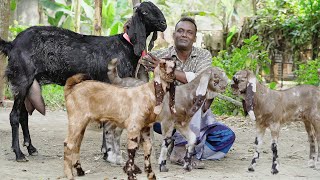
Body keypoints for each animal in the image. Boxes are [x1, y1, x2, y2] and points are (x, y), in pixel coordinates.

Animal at [0, 1, 168, 162]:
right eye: (145, 11)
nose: (164, 23)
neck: (125, 46)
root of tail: (12, 44)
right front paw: (108, 152)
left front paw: (106, 151)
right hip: (22, 80)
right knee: (14, 116)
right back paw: (19, 154)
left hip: (29, 84)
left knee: (23, 115)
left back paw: (30, 148)